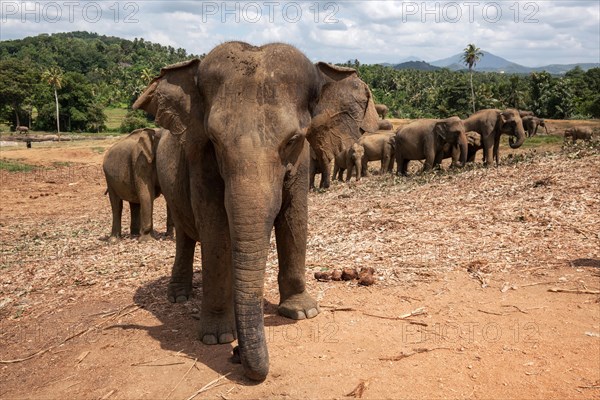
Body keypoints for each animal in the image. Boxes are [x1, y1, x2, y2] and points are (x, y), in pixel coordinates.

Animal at [134, 41, 380, 382]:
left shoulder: (302, 160)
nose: (237, 355)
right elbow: (215, 227)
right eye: (214, 140)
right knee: (185, 235)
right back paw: (179, 296)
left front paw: (301, 312)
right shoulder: (200, 159)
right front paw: (216, 337)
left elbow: (294, 218)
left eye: (292, 139)